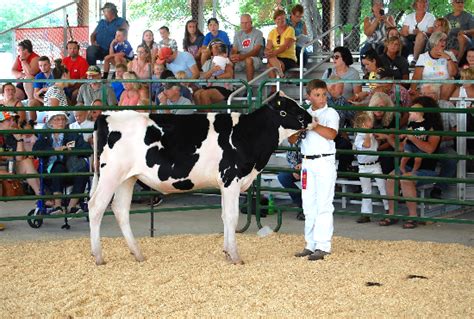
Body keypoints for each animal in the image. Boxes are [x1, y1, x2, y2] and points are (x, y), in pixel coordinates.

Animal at [89, 92, 312, 264]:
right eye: (289, 109)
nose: (311, 118)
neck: (246, 134)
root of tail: (106, 116)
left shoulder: (225, 184)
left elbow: (224, 216)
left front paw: (226, 252)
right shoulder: (231, 179)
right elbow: (231, 216)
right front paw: (235, 256)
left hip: (127, 178)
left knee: (120, 209)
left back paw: (137, 254)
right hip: (110, 174)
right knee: (96, 206)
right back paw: (98, 256)